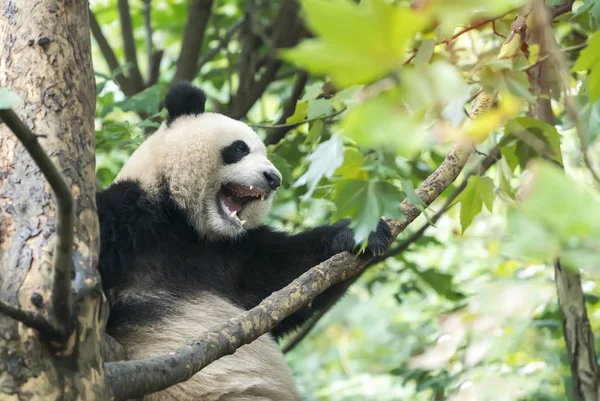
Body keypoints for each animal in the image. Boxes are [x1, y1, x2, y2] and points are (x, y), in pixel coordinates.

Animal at [96, 82, 392, 400]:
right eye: (240, 148)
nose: (274, 178)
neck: (184, 221)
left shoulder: (232, 252)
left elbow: (284, 281)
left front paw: (360, 234)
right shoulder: (129, 215)